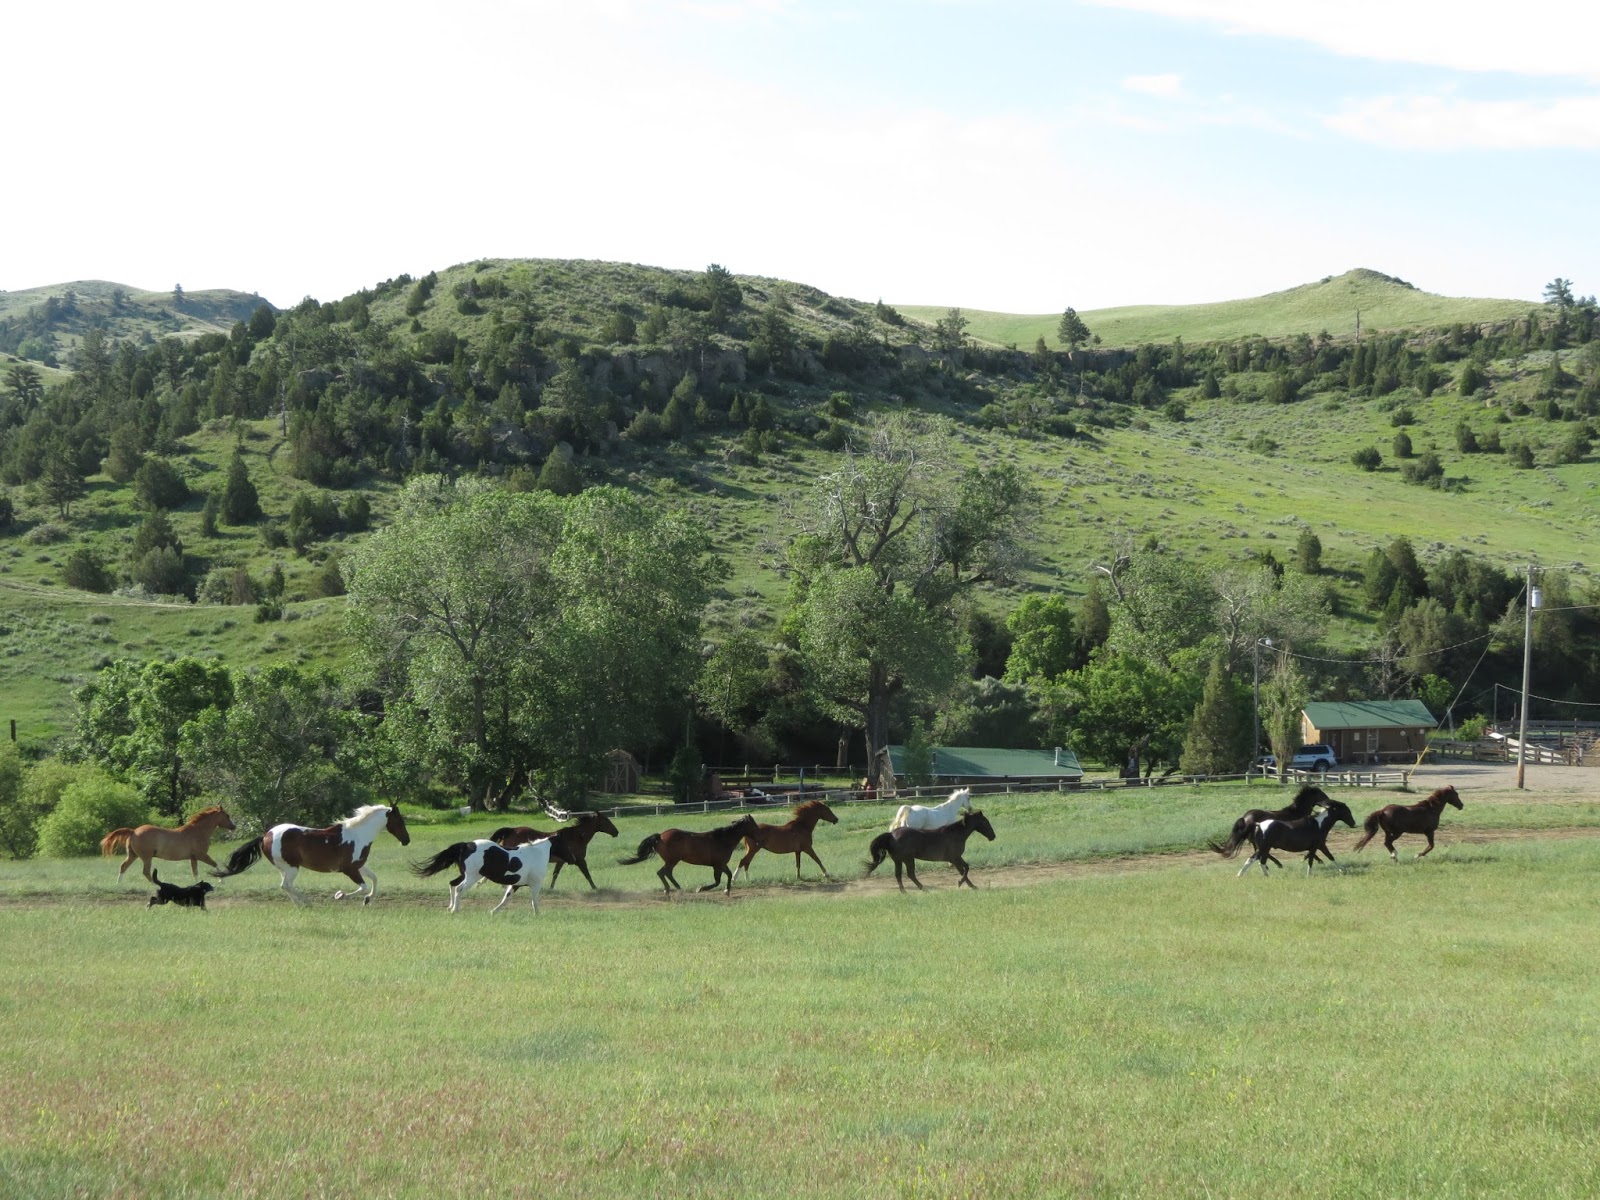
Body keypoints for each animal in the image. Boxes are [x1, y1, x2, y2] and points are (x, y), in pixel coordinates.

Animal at [100, 809, 235, 883]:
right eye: (227, 815)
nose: (234, 826)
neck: (197, 832)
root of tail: (133, 831)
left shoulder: (193, 858)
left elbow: (195, 872)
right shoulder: (201, 855)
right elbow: (215, 864)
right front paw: (222, 879)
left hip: (133, 855)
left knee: (123, 866)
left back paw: (118, 884)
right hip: (146, 857)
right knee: (146, 872)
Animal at [212, 803, 412, 908]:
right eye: (399, 821)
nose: (407, 840)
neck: (359, 835)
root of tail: (266, 835)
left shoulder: (359, 866)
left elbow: (374, 879)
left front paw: (368, 899)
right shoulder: (349, 869)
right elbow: (363, 886)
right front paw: (339, 895)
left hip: (284, 868)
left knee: (285, 886)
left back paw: (300, 904)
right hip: (292, 867)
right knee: (286, 885)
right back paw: (307, 902)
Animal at [412, 838, 556, 915]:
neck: (538, 852)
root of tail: (467, 845)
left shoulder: (516, 884)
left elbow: (506, 898)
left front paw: (493, 912)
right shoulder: (535, 884)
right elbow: (534, 900)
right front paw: (538, 915)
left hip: (465, 875)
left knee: (452, 884)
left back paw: (450, 907)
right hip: (471, 877)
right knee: (459, 888)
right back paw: (455, 910)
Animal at [486, 809, 617, 896]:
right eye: (606, 821)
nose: (616, 832)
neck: (577, 836)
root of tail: (511, 830)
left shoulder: (562, 861)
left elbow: (555, 874)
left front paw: (551, 888)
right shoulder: (580, 860)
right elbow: (587, 875)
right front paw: (595, 888)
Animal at [614, 812, 758, 896]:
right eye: (754, 825)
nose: (758, 840)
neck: (722, 839)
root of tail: (660, 836)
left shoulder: (717, 865)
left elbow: (720, 879)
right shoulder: (719, 864)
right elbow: (724, 877)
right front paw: (709, 889)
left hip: (671, 861)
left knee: (664, 873)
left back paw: (672, 889)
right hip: (672, 860)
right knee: (663, 872)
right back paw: (674, 889)